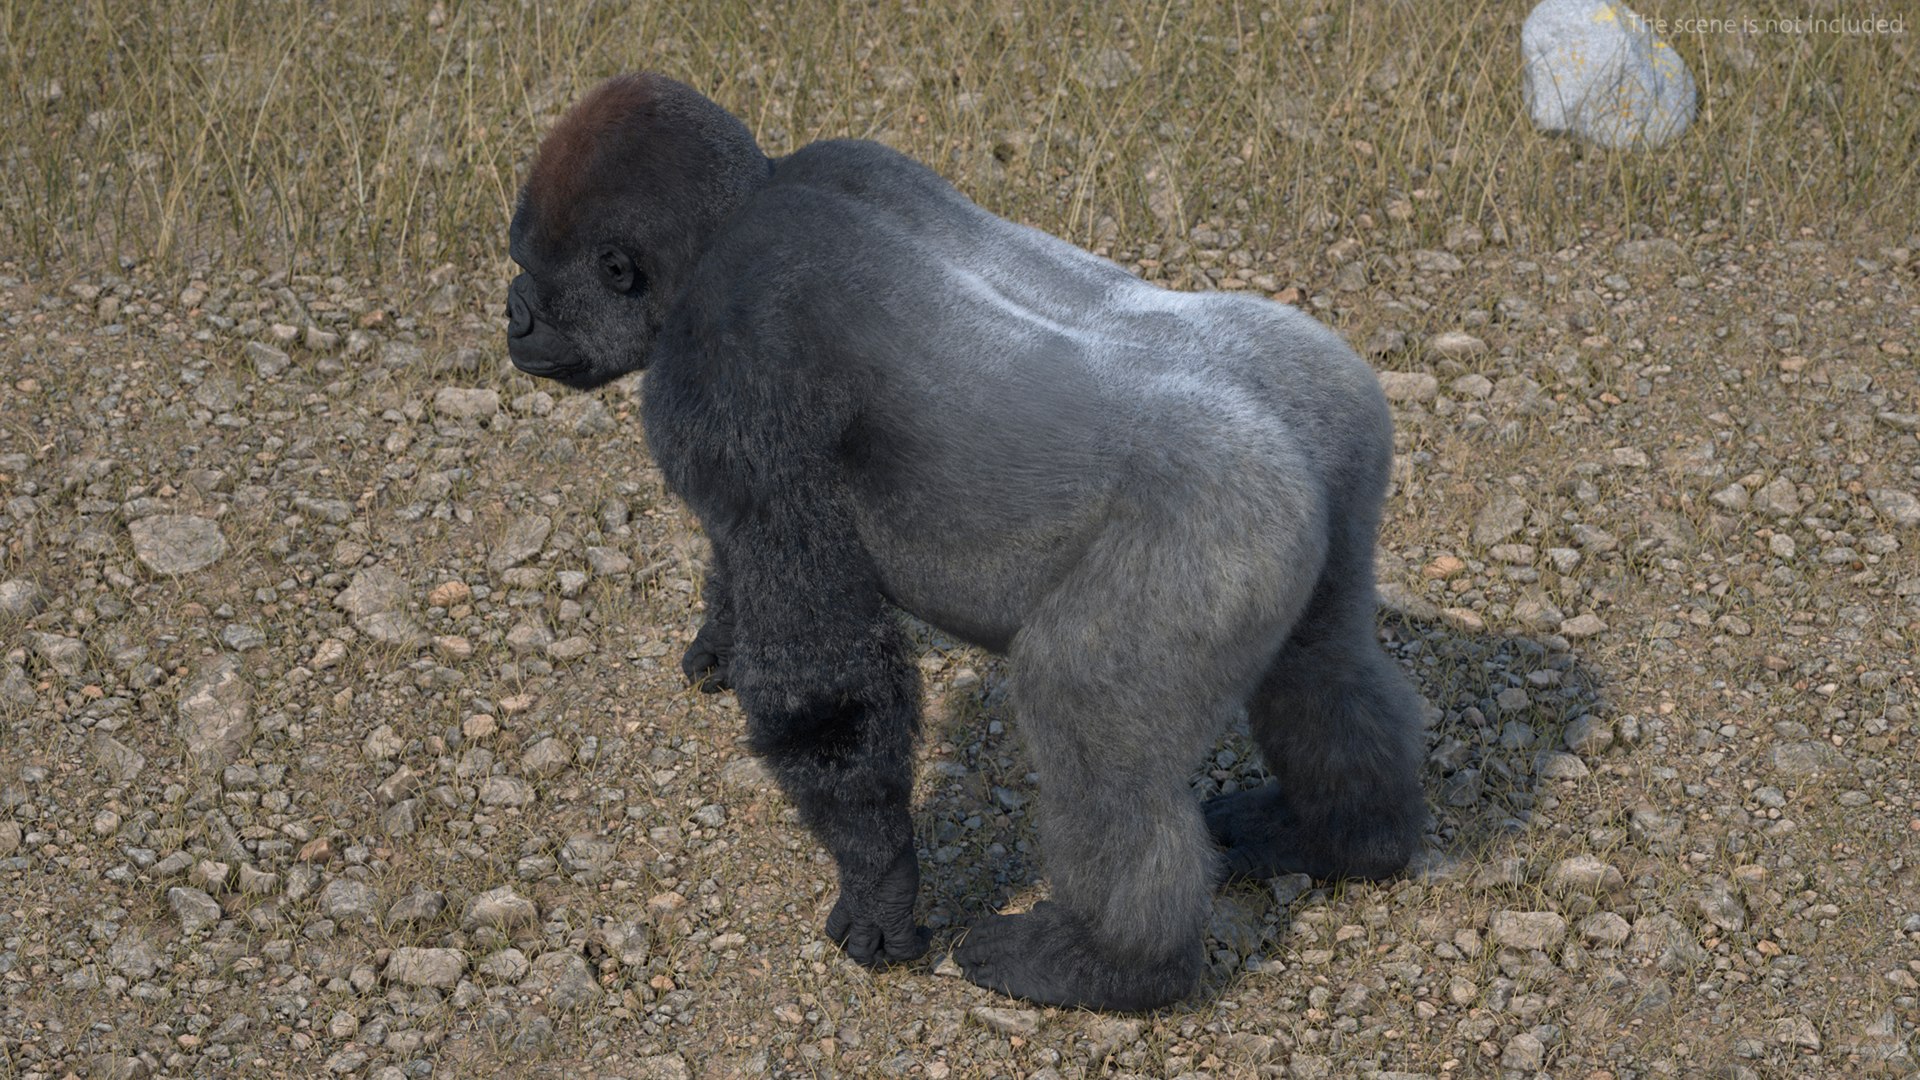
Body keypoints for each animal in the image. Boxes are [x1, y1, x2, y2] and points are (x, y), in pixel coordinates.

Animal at [505, 72, 1426, 1011]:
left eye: (532, 278)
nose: (512, 318)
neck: (741, 210)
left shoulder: (723, 377)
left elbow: (821, 679)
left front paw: (879, 886)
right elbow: (746, 582)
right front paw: (717, 643)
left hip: (1215, 532)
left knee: (1091, 726)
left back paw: (1113, 963)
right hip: (1336, 449)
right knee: (1323, 667)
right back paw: (1339, 837)